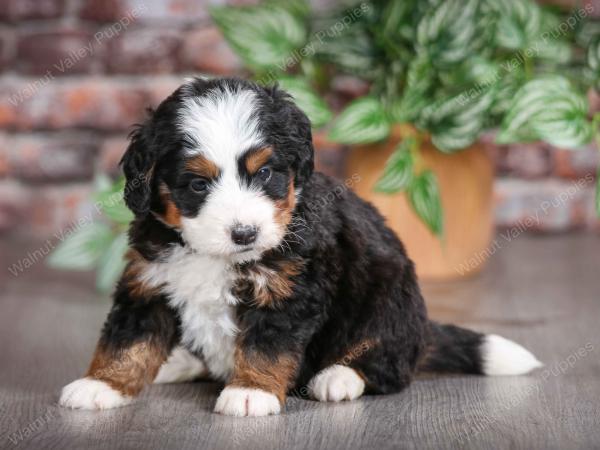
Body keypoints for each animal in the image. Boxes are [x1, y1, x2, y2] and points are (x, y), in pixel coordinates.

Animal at [58, 78, 540, 418]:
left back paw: (339, 377)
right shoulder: (149, 281)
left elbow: (267, 344)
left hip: (389, 298)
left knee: (387, 363)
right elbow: (127, 339)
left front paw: (250, 392)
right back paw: (181, 363)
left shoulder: (289, 290)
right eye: (197, 184)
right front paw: (102, 384)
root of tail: (421, 334)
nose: (245, 233)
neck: (214, 256)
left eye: (265, 173)